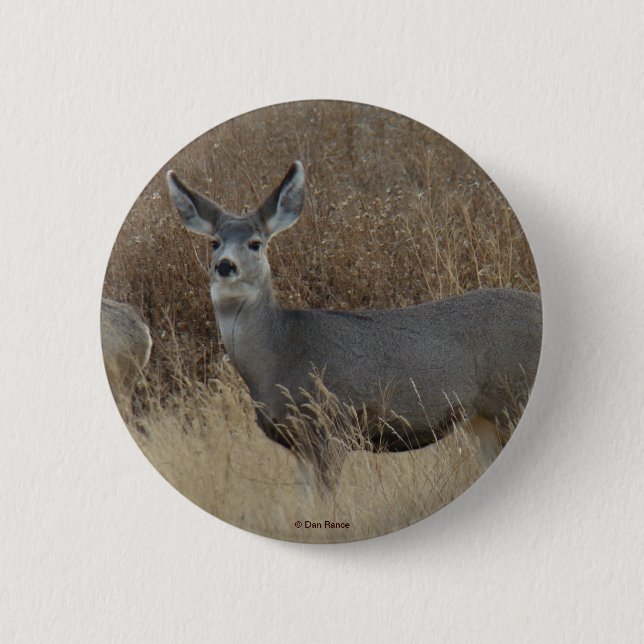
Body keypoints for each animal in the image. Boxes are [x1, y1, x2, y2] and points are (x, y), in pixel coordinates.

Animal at [166, 161, 542, 489]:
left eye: (255, 243)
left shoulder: (331, 425)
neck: (278, 357)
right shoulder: (297, 442)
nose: (225, 265)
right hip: (482, 419)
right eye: (214, 242)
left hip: (514, 395)